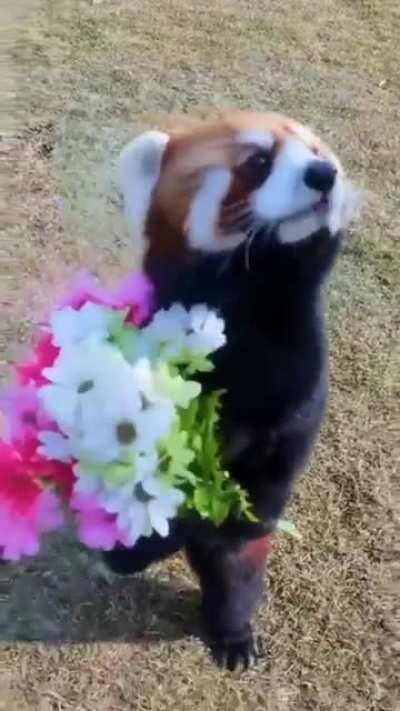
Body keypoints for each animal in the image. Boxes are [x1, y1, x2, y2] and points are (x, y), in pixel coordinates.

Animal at [103, 111, 358, 670]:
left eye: (318, 152)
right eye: (258, 162)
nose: (323, 174)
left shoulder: (301, 370)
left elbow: (286, 446)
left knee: (235, 579)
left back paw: (233, 633)